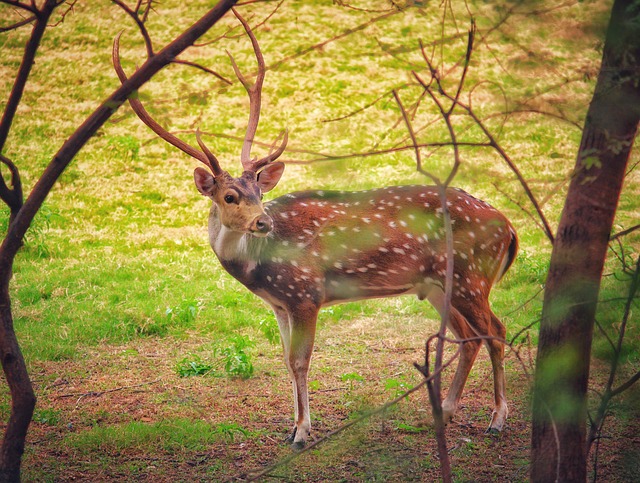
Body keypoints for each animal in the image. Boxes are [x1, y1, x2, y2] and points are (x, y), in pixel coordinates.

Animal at [114, 9, 516, 450]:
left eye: (259, 191)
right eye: (230, 196)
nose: (263, 221)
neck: (259, 268)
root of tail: (510, 228)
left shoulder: (305, 293)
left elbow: (300, 361)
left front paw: (303, 432)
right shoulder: (279, 304)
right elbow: (286, 362)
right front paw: (293, 426)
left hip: (469, 276)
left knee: (496, 330)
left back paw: (497, 420)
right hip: (438, 285)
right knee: (470, 336)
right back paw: (444, 410)